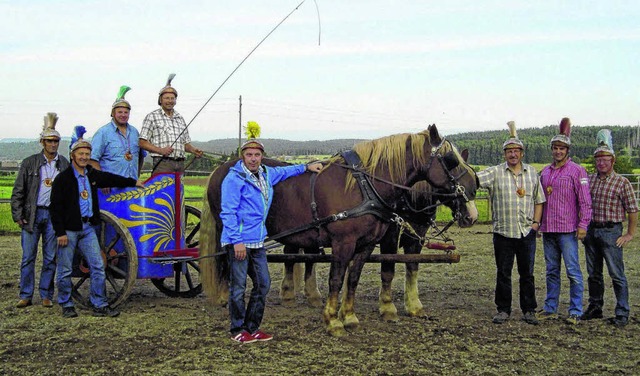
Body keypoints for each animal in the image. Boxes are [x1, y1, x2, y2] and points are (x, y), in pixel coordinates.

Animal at [202, 125, 478, 336]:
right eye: (452, 160)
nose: (474, 188)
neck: (365, 185)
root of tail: (221, 168)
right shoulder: (343, 243)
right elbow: (336, 279)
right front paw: (333, 321)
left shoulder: (366, 244)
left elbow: (353, 278)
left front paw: (350, 317)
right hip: (228, 231)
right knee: (229, 262)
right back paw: (227, 297)